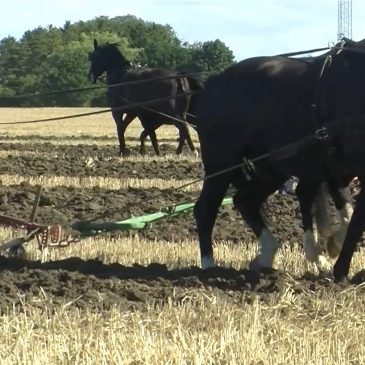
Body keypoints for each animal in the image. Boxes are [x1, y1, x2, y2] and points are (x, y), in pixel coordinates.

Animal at [193, 37, 364, 282]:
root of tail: (214, 81)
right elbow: (356, 219)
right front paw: (340, 271)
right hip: (222, 163)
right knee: (206, 208)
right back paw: (209, 266)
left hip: (271, 167)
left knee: (246, 201)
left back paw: (268, 254)